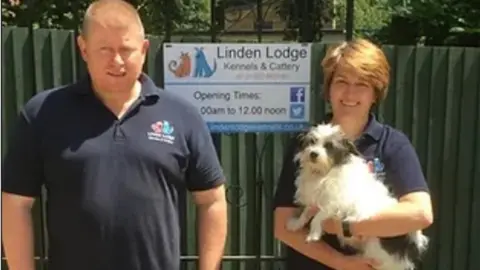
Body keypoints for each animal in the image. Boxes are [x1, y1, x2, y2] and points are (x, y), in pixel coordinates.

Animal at [286, 124, 430, 270]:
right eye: (312, 142)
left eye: (329, 146)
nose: (313, 154)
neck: (324, 172)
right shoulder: (316, 199)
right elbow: (306, 212)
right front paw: (296, 224)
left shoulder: (336, 204)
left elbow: (318, 216)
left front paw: (313, 234)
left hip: (376, 250)